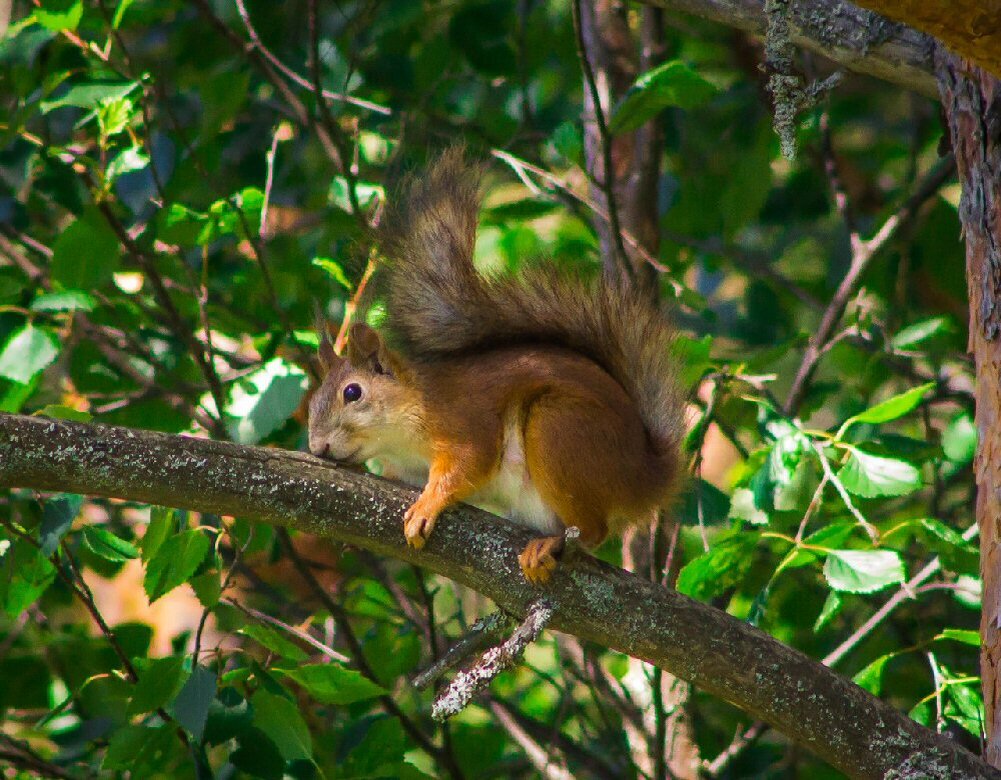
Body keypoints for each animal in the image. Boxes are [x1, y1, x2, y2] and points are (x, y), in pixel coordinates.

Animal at [308, 149, 684, 580]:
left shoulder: (464, 420)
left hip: (560, 429)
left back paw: (549, 546)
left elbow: (469, 463)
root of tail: (645, 477)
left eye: (352, 393)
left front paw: (427, 505)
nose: (317, 446)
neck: (403, 426)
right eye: (314, 398)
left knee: (593, 531)